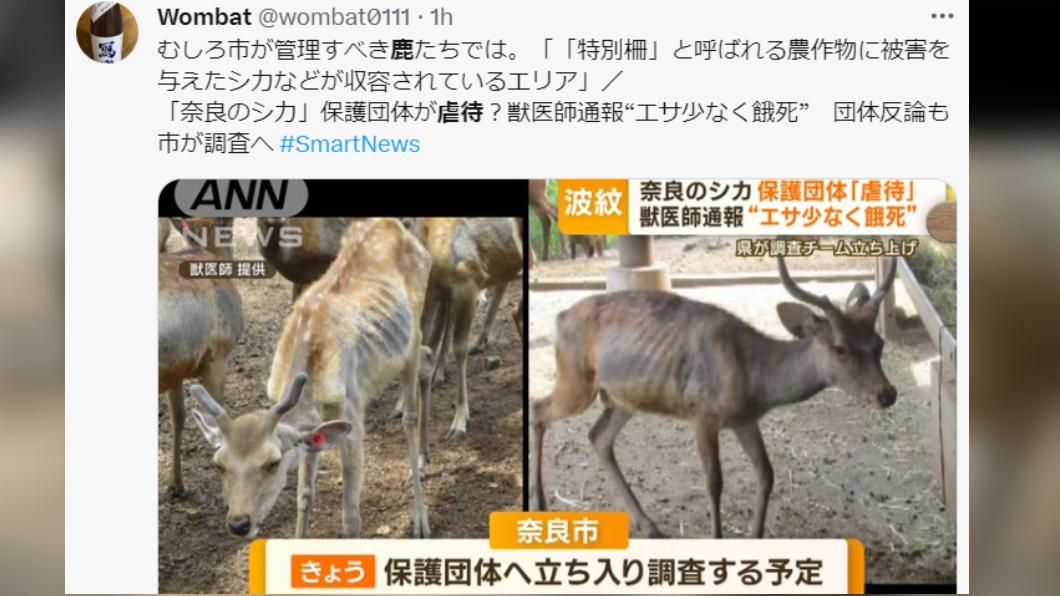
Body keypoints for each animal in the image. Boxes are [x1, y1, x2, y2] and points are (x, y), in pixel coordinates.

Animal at [188, 218, 433, 539]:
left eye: (272, 462)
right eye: (218, 463)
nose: (239, 523)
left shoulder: (353, 415)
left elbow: (350, 518)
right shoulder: (310, 432)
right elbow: (304, 495)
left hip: (411, 338)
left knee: (411, 414)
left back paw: (420, 518)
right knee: (428, 361)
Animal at [529, 255, 898, 538]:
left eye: (879, 343)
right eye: (840, 348)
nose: (887, 394)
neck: (754, 379)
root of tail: (560, 319)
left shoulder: (745, 420)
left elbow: (767, 474)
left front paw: (755, 536)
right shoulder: (702, 414)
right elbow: (714, 482)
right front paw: (718, 535)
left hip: (623, 399)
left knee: (599, 436)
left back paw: (648, 525)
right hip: (575, 379)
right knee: (539, 409)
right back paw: (541, 504)